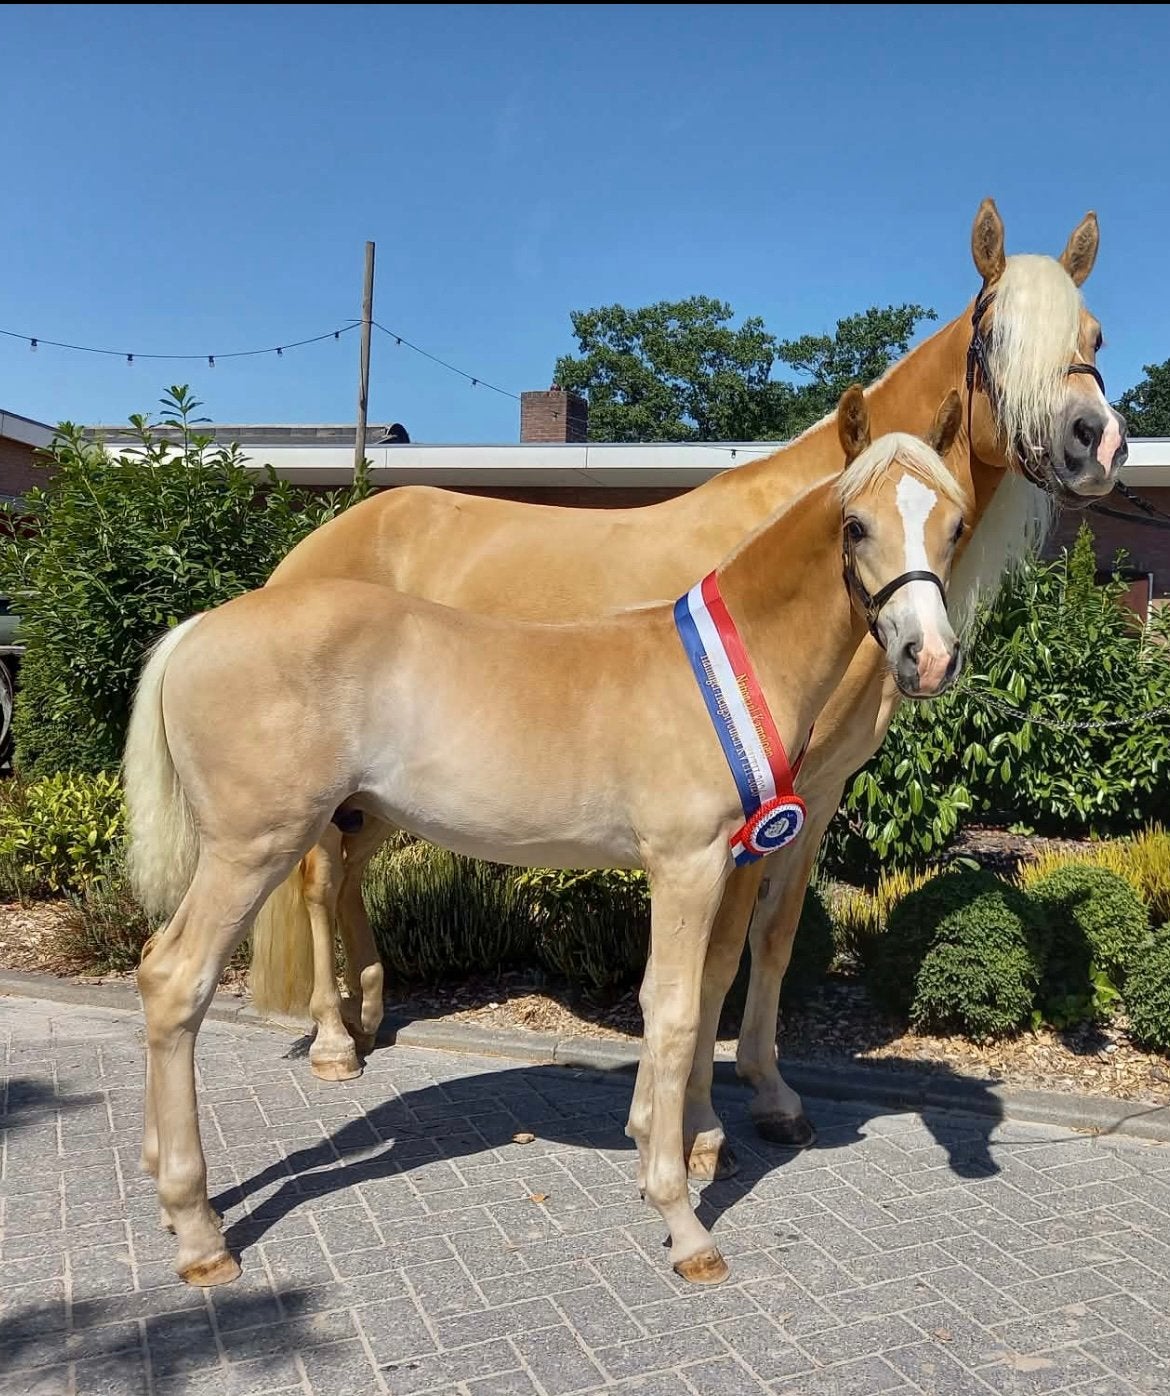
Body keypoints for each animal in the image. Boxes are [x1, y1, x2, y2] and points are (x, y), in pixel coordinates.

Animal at [127, 390, 968, 1289]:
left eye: (954, 524)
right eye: (856, 525)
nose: (928, 658)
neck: (724, 671)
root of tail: (198, 630)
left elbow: (685, 993)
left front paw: (659, 1145)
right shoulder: (688, 865)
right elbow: (675, 1012)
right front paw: (684, 1220)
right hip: (254, 849)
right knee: (177, 980)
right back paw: (201, 1229)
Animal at [249, 197, 1127, 1172]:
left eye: (1096, 332)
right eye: (995, 332)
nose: (1095, 441)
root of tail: (314, 549)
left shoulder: (816, 795)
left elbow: (771, 942)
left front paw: (770, 1097)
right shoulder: (741, 812)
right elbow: (715, 959)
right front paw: (700, 1128)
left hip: (386, 795)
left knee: (348, 876)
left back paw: (369, 1010)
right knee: (318, 879)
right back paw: (336, 1041)